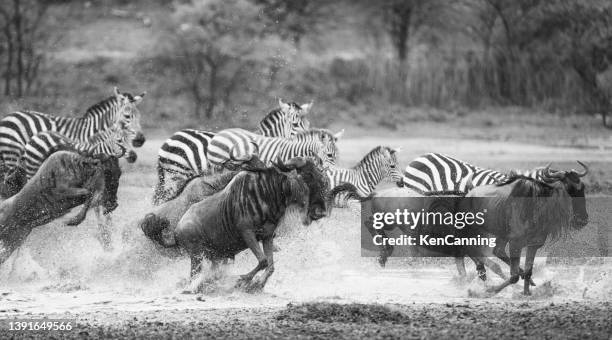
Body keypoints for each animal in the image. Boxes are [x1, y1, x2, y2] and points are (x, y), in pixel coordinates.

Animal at [0, 87, 147, 170]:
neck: (91, 130)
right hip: (11, 154)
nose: (141, 140)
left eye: (140, 117)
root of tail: (8, 116)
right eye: (127, 116)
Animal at [1, 126, 137, 198]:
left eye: (131, 140)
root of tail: (35, 137)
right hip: (32, 165)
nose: (134, 156)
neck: (95, 151)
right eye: (119, 140)